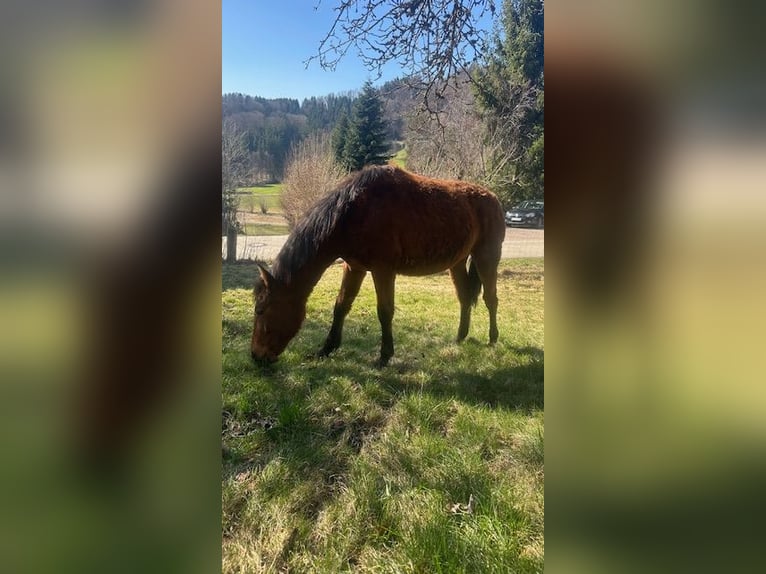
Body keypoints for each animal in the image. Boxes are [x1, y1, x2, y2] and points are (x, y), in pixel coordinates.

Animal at [251, 164, 506, 366]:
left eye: (260, 310)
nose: (256, 357)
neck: (353, 211)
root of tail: (493, 197)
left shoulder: (383, 270)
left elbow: (385, 311)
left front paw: (384, 356)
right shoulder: (354, 267)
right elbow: (341, 306)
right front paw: (326, 349)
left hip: (487, 257)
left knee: (491, 299)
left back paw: (493, 338)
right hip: (457, 262)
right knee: (465, 297)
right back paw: (460, 337)